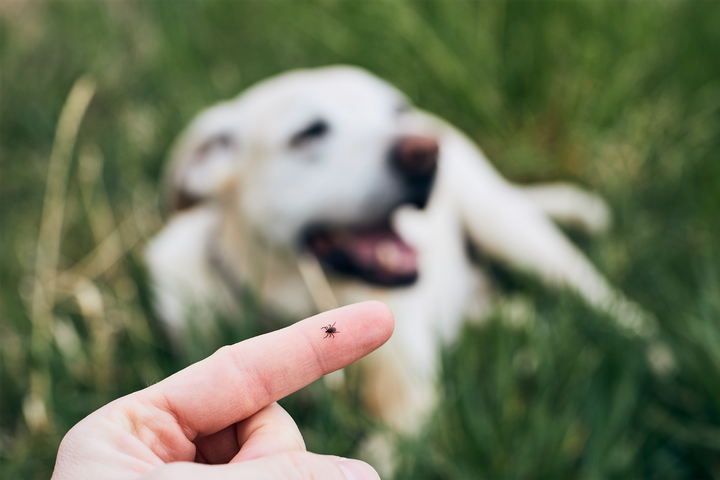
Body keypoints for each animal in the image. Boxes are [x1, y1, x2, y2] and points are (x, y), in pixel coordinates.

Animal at [143, 64, 656, 436]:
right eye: (309, 133)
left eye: (395, 112)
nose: (426, 153)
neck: (300, 300)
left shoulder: (410, 404)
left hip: (511, 230)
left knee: (603, 300)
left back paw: (656, 354)